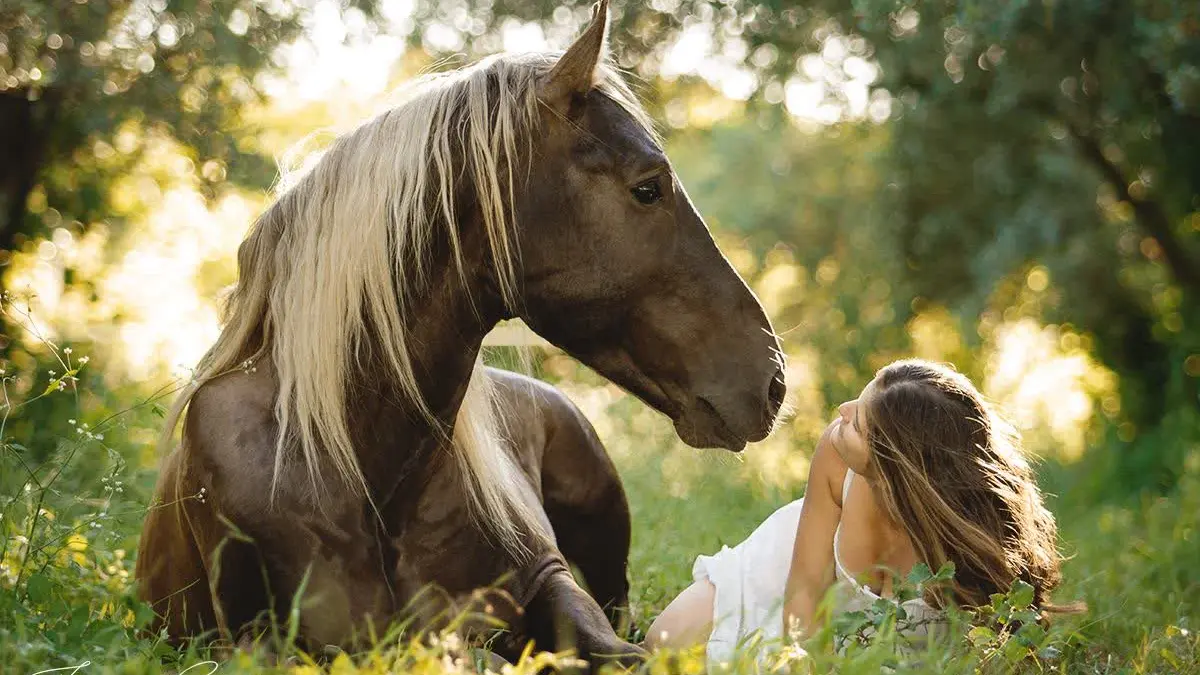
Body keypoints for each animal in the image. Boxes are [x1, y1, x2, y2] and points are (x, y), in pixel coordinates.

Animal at [135, 0, 785, 666]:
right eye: (647, 187)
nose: (773, 382)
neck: (361, 464)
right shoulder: (260, 644)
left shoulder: (551, 581)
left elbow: (615, 652)